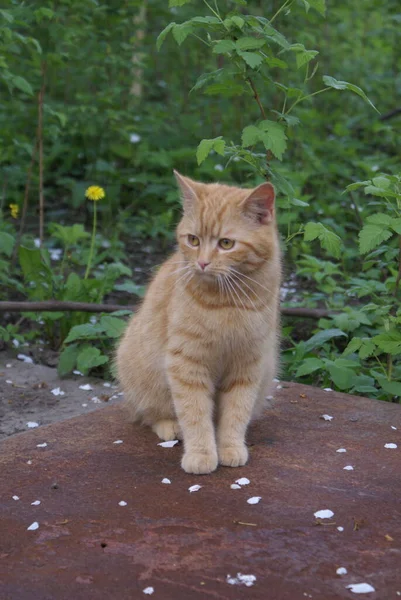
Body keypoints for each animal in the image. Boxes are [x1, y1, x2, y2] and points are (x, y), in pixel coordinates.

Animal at [115, 171, 282, 476]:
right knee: (149, 414)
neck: (226, 303)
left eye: (226, 244)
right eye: (193, 240)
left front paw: (230, 447)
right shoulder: (187, 364)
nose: (202, 263)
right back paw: (170, 427)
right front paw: (202, 454)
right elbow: (194, 415)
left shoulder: (247, 364)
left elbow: (236, 413)